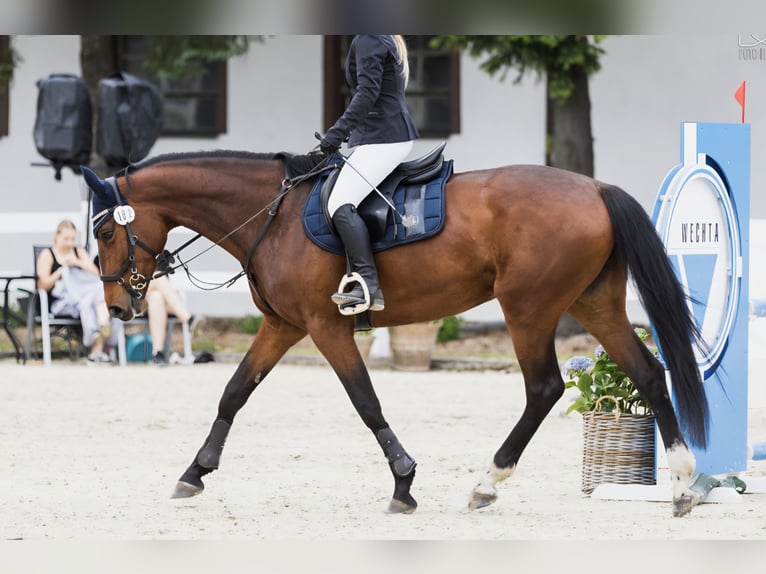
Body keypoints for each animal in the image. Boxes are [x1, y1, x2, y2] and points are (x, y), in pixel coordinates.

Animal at [81, 149, 709, 518]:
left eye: (106, 235)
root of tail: (596, 188)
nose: (117, 306)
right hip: (592, 302)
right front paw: (194, 473)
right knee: (650, 374)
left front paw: (404, 484)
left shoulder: (325, 326)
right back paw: (680, 485)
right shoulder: (283, 325)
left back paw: (488, 481)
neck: (270, 215)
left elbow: (366, 402)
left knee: (544, 389)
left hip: (528, 308)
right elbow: (234, 392)